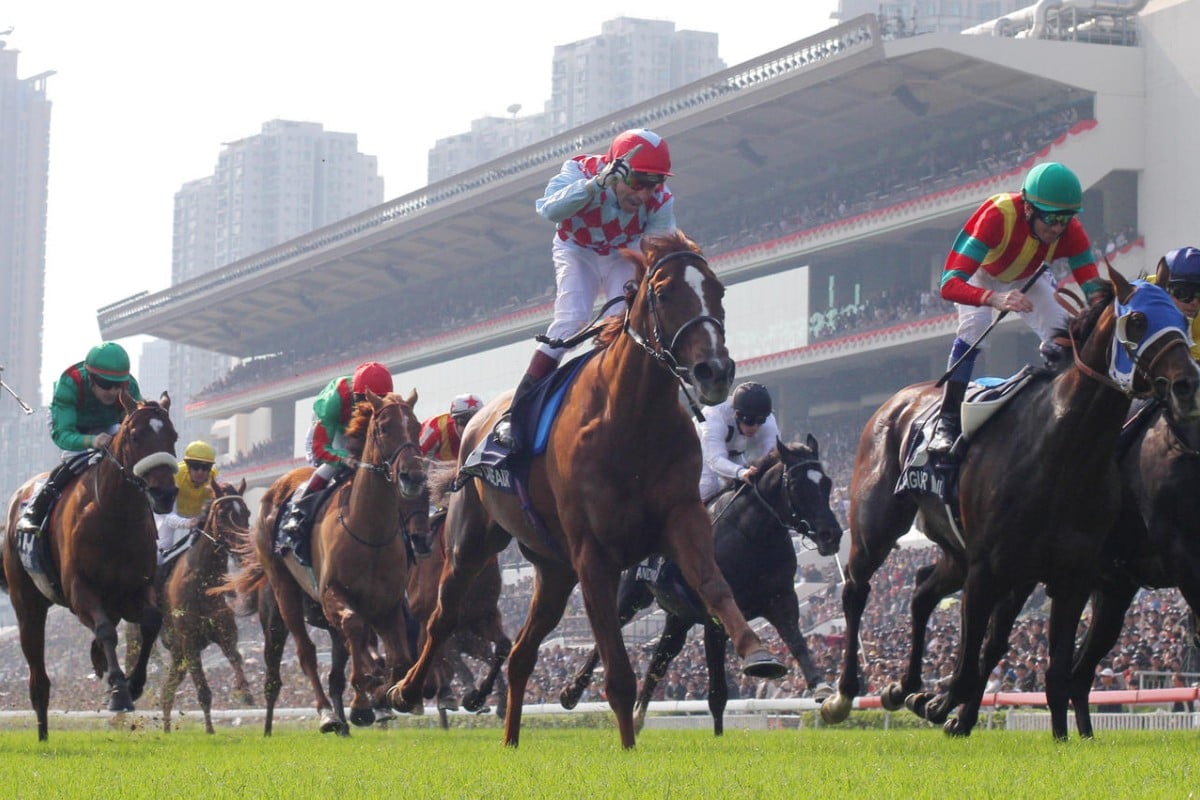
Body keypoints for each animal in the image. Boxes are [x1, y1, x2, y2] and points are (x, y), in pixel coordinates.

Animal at [0, 391, 177, 743]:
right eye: (135, 436)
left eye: (173, 436)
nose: (165, 493)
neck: (115, 517)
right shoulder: (80, 591)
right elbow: (106, 631)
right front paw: (119, 691)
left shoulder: (134, 592)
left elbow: (151, 621)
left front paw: (133, 684)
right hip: (27, 604)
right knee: (38, 678)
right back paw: (43, 736)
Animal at [156, 479, 254, 734]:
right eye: (223, 513)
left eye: (246, 513)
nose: (244, 553)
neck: (200, 584)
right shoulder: (190, 642)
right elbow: (203, 692)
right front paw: (210, 731)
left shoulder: (224, 632)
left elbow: (236, 658)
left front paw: (245, 692)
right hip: (180, 650)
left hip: (178, 656)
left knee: (167, 690)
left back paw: (167, 730)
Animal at [226, 391, 429, 734]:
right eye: (384, 427)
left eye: (415, 426)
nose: (412, 476)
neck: (369, 531)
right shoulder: (333, 593)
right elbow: (355, 628)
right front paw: (362, 702)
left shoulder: (387, 604)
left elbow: (398, 657)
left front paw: (393, 694)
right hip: (284, 592)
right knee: (306, 651)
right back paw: (327, 714)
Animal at [384, 232, 792, 753]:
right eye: (663, 293)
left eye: (718, 291)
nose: (714, 371)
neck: (631, 418)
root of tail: (476, 422)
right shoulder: (593, 554)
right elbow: (617, 672)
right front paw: (628, 750)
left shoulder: (682, 517)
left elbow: (714, 585)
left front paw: (758, 652)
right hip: (472, 542)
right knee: (443, 616)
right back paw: (407, 689)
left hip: (554, 571)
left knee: (520, 653)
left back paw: (509, 739)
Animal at [820, 272, 1200, 743]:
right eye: (1138, 321)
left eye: (1181, 320)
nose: (1186, 385)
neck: (1063, 451)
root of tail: (902, 397)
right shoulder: (992, 570)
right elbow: (974, 663)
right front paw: (939, 705)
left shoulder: (1073, 577)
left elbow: (1054, 671)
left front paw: (1062, 740)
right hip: (879, 525)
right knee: (857, 588)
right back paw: (845, 696)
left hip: (971, 555)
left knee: (924, 589)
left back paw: (906, 688)